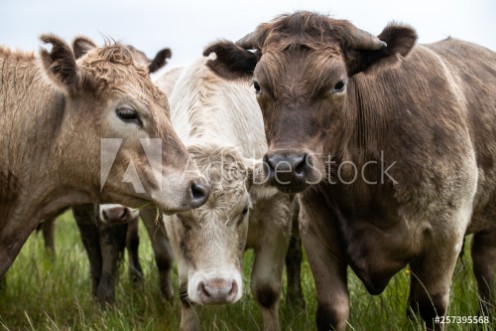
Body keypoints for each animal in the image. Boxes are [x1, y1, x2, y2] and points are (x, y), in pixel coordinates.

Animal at [161, 58, 296, 331]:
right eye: (182, 216)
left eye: (244, 209)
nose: (218, 290)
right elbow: (185, 294)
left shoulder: (279, 216)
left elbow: (266, 290)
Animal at [202, 10, 496, 331]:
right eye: (257, 85)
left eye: (338, 84)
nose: (286, 165)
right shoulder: (316, 232)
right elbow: (332, 311)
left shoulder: (445, 234)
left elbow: (428, 309)